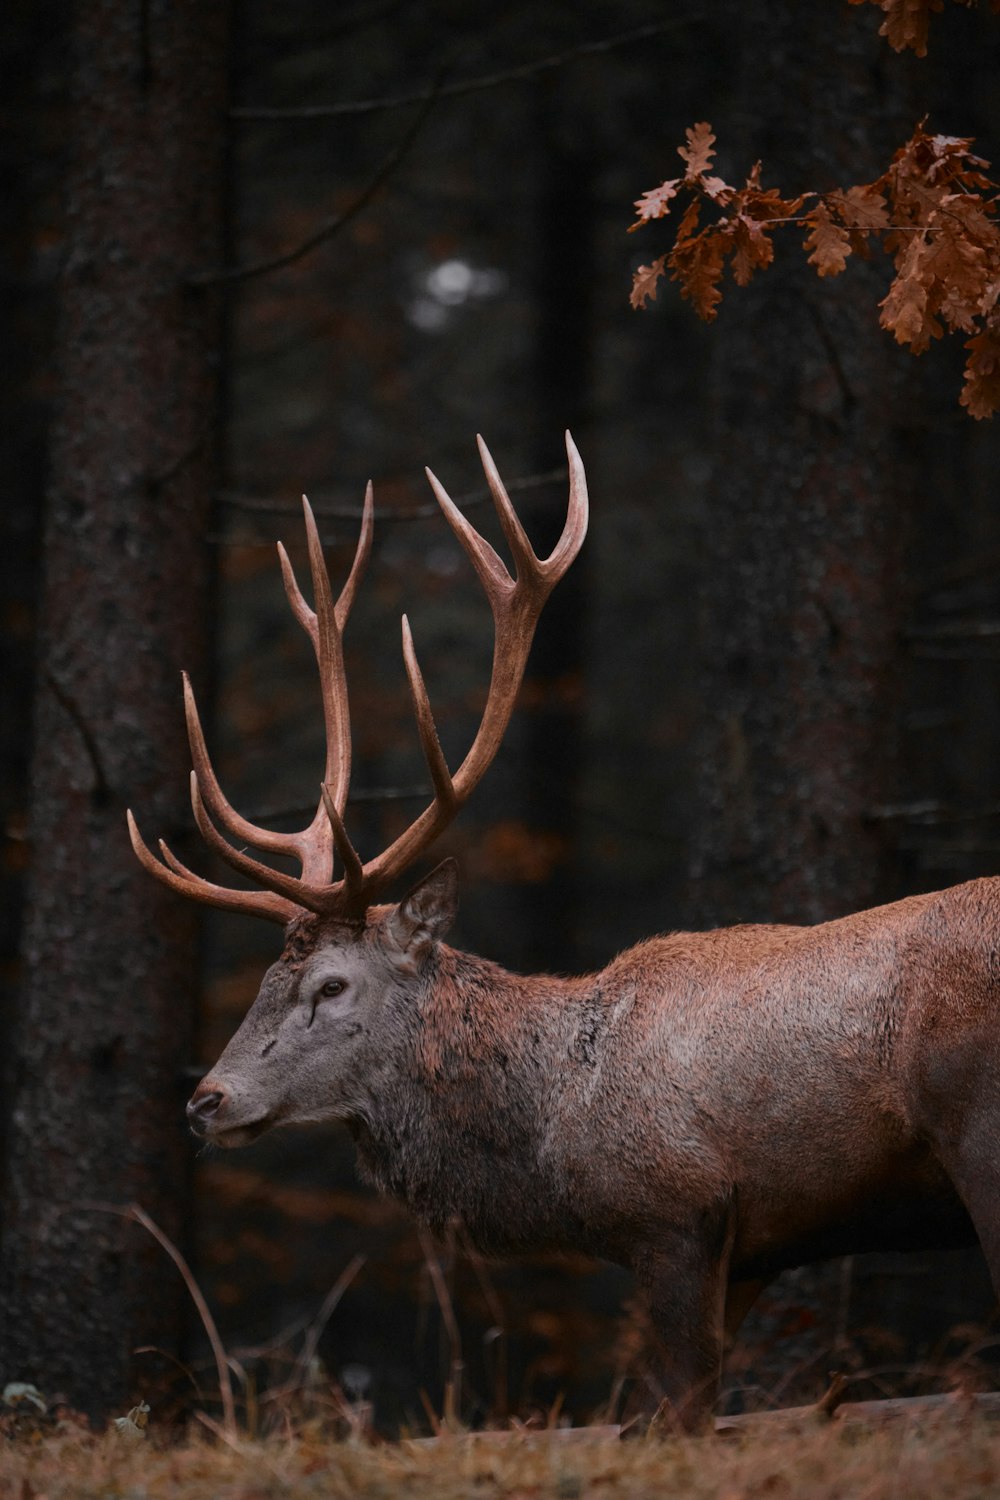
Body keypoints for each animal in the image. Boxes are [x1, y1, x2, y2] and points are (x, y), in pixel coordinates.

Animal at [128, 435, 1000, 1428]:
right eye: (269, 980)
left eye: (332, 985)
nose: (207, 1101)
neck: (558, 1135)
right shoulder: (753, 1249)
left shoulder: (677, 1214)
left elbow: (673, 1415)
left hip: (979, 1131)